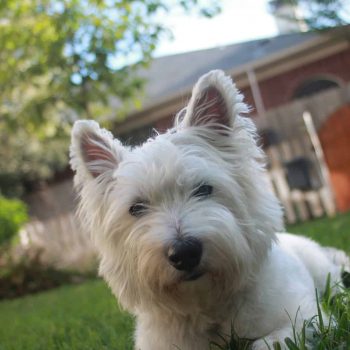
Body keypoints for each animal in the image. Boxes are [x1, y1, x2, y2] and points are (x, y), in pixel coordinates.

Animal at [69, 69, 348, 348]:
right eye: (136, 208)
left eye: (203, 189)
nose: (184, 253)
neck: (208, 306)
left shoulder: (305, 318)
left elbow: (268, 341)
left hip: (323, 273)